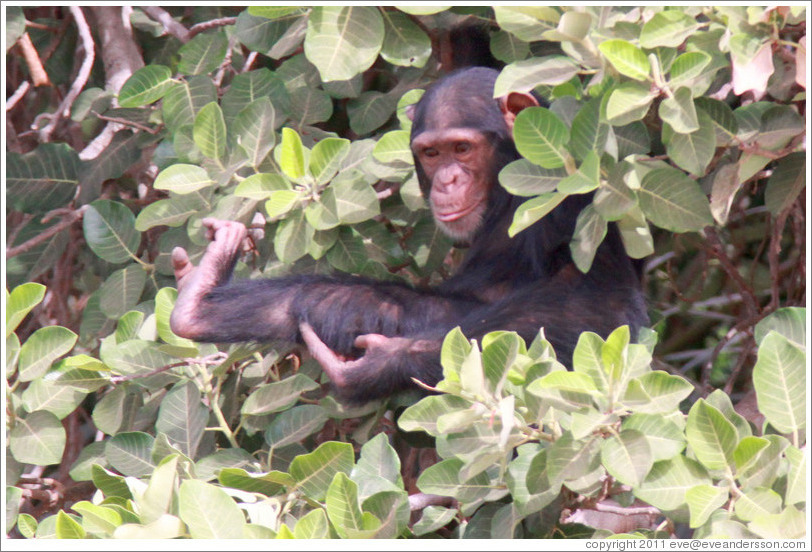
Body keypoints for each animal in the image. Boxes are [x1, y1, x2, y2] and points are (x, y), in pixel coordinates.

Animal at [171, 67, 648, 404]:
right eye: (432, 153)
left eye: (463, 148)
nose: (448, 181)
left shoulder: (560, 193)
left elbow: (590, 303)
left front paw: (382, 365)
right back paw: (200, 304)